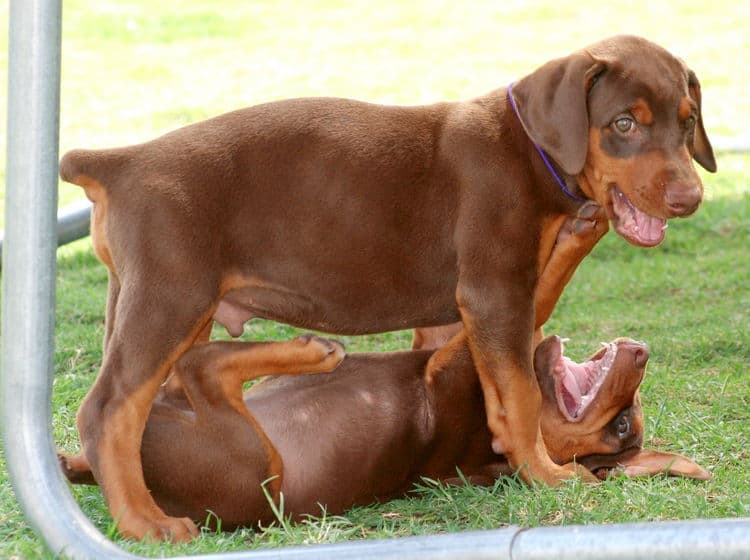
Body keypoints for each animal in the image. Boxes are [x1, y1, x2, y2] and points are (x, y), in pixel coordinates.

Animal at [58, 36, 716, 544]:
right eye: (624, 123)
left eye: (688, 120)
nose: (690, 199)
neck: (530, 153)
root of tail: (118, 162)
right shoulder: (494, 290)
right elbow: (522, 393)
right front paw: (545, 473)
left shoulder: (453, 322)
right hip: (169, 297)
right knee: (109, 408)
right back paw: (145, 522)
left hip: (148, 302)